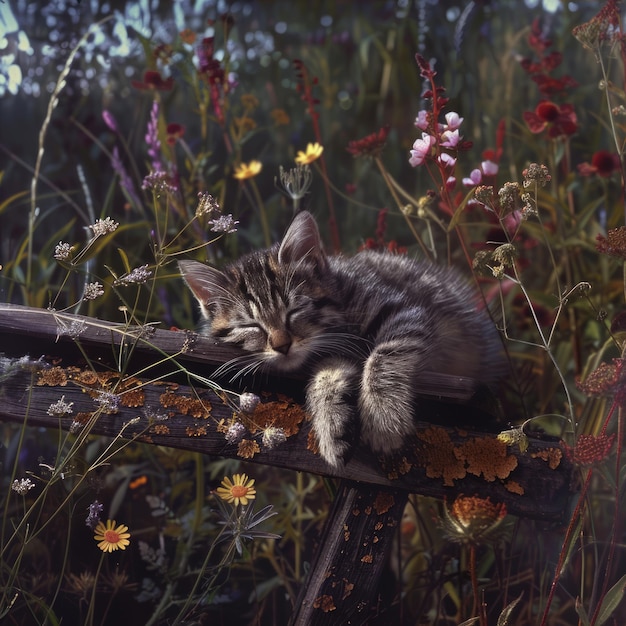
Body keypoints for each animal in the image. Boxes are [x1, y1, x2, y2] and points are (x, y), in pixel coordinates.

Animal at [178, 212, 500, 466]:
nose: (282, 346)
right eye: (251, 325)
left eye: (294, 310)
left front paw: (383, 416)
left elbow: (385, 355)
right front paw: (331, 424)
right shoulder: (337, 350)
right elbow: (326, 377)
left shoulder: (404, 311)